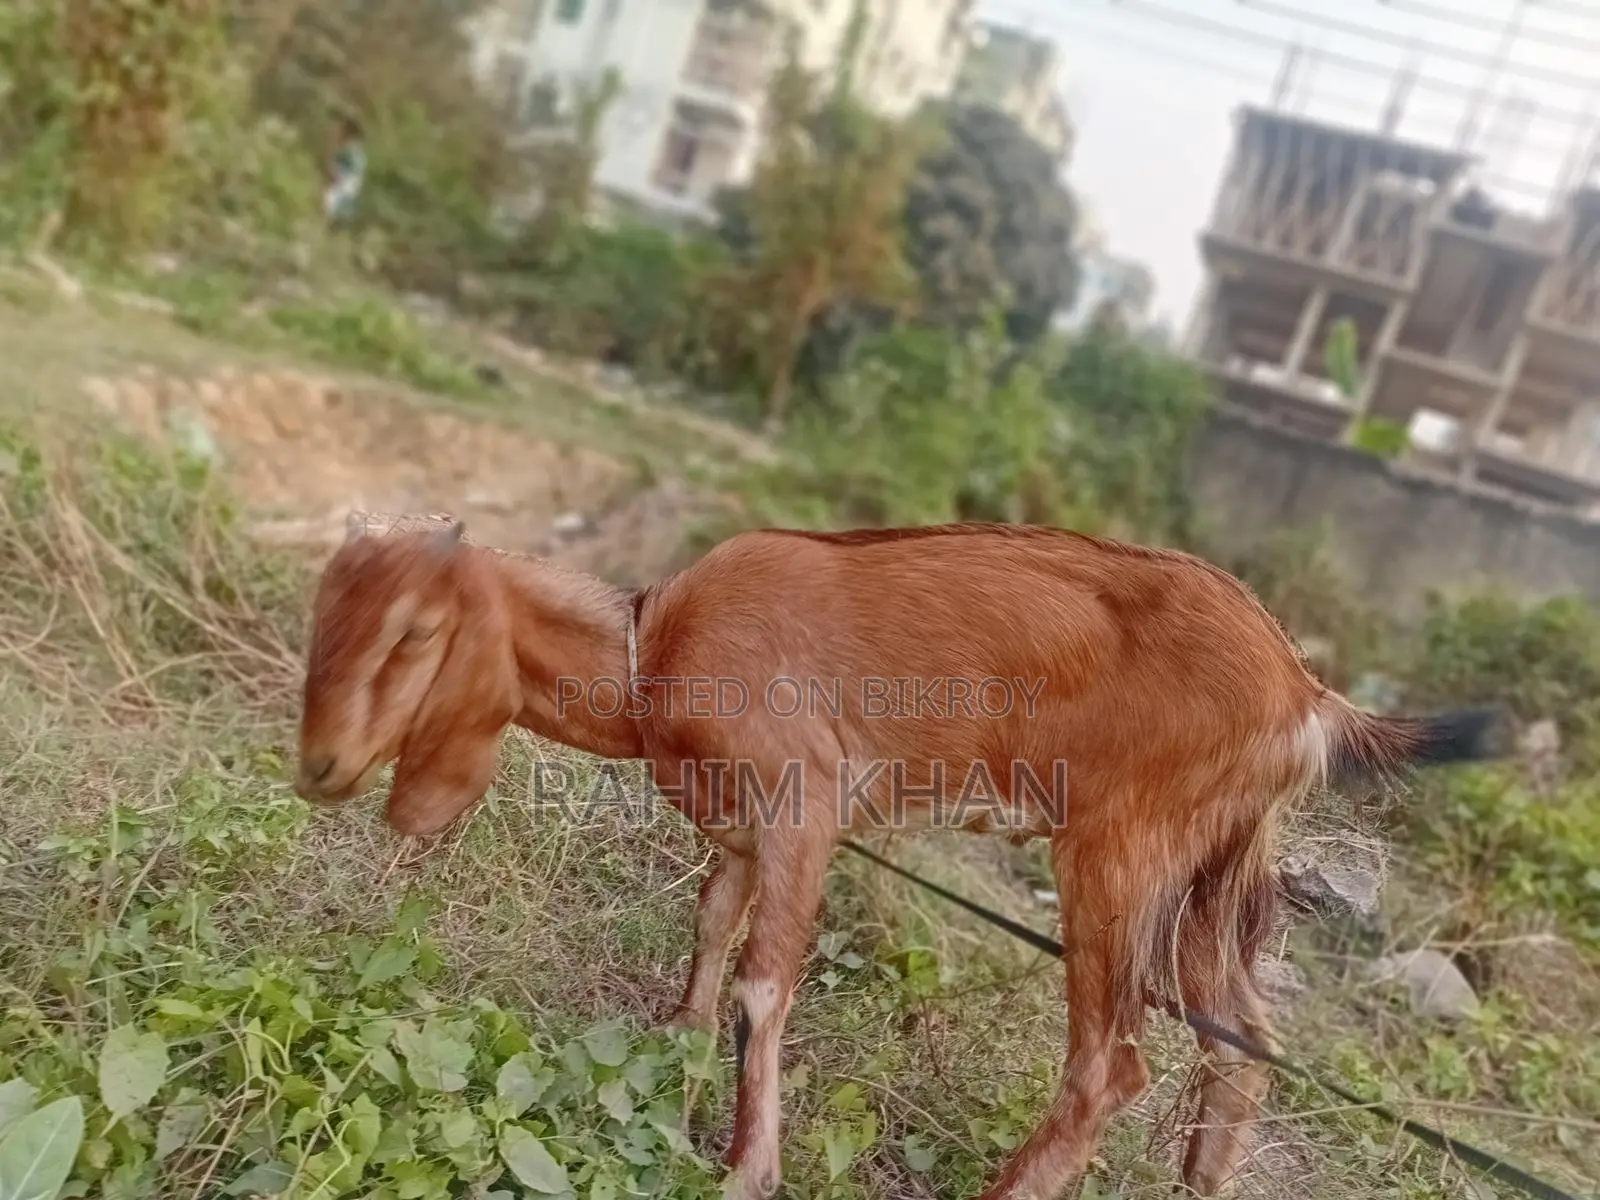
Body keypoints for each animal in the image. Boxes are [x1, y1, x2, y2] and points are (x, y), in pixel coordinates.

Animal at [294, 515, 1500, 1200]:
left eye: (413, 632)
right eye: (322, 617)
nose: (322, 766)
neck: (652, 652)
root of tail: (1306, 693)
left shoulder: (804, 797)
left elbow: (765, 982)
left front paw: (746, 1167)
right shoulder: (741, 822)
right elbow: (710, 923)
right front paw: (671, 1039)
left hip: (1119, 851)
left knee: (1111, 1065)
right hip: (1212, 867)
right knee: (1242, 1039)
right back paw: (1202, 1182)